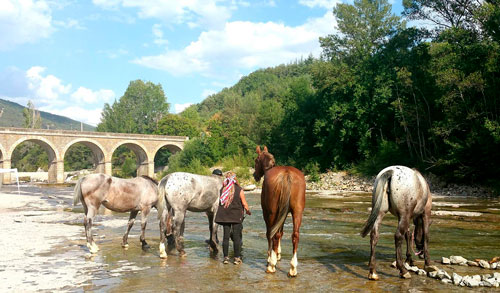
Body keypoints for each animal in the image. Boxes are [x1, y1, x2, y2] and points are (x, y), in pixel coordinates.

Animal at [252, 145, 306, 276]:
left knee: (273, 234)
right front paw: (277, 254)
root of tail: (287, 174)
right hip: (297, 212)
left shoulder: (267, 213)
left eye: (256, 161)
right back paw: (293, 268)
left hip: (273, 212)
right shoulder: (284, 213)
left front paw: (271, 257)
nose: (255, 175)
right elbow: (281, 232)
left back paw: (271, 265)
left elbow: (270, 234)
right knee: (295, 235)